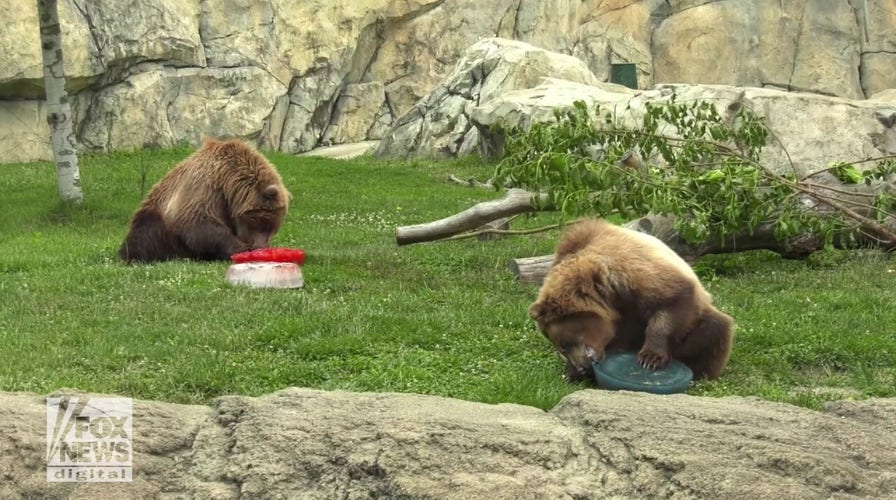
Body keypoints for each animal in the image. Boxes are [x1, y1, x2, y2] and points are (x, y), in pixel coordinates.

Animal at [118, 138, 291, 264]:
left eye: (273, 226)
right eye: (256, 220)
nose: (260, 247)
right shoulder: (207, 189)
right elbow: (198, 222)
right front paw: (241, 248)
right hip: (155, 221)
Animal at [528, 218, 734, 383]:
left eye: (564, 343)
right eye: (562, 348)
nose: (582, 366)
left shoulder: (633, 273)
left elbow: (673, 300)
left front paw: (650, 358)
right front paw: (571, 372)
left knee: (715, 328)